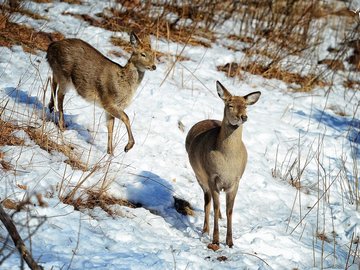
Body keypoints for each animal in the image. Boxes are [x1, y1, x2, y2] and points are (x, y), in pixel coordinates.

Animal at [186, 79, 262, 247]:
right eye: (230, 105)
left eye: (245, 106)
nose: (243, 117)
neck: (227, 163)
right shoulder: (212, 177)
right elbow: (215, 206)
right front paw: (215, 240)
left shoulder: (236, 181)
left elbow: (229, 210)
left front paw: (230, 242)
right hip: (199, 177)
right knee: (207, 202)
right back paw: (205, 230)